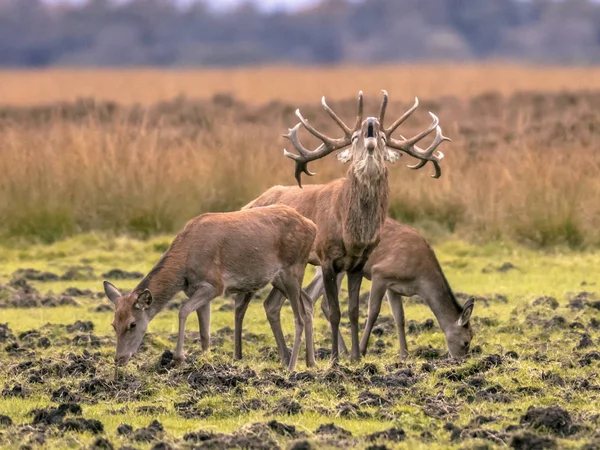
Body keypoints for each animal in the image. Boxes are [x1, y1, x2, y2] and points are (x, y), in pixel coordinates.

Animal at [102, 206, 318, 370]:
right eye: (113, 324)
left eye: (132, 324)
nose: (119, 359)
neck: (184, 265)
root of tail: (312, 226)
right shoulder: (195, 289)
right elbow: (204, 333)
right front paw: (206, 361)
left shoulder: (215, 285)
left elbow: (183, 310)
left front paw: (179, 358)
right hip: (279, 278)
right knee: (306, 303)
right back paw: (310, 362)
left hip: (293, 268)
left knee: (298, 316)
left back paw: (292, 366)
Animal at [245, 90, 450, 362]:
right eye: (354, 137)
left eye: (383, 137)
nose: (371, 122)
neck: (352, 235)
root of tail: (252, 202)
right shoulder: (326, 258)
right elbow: (334, 311)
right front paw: (334, 358)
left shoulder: (358, 263)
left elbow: (353, 311)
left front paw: (356, 356)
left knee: (271, 304)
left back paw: (286, 356)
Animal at [246, 218, 476, 362]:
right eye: (466, 341)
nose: (460, 360)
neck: (420, 276)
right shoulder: (380, 273)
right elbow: (373, 311)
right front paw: (363, 351)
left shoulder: (395, 287)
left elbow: (400, 317)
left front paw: (404, 355)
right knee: (323, 302)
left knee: (313, 298)